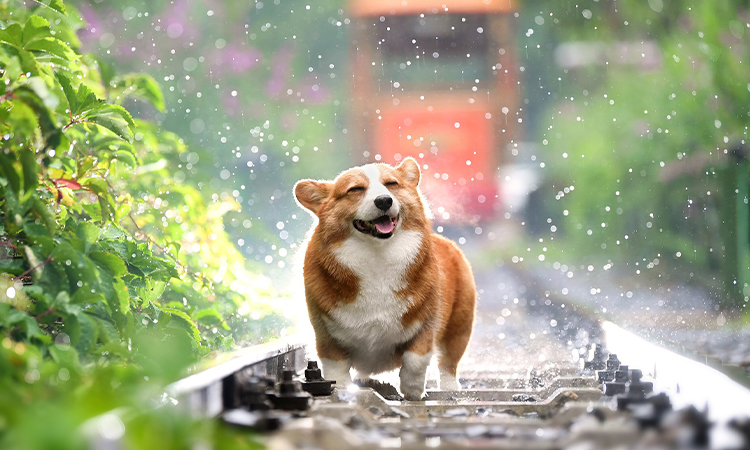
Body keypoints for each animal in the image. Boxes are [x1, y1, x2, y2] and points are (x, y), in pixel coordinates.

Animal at [294, 158, 476, 400]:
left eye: (391, 184)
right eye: (355, 189)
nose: (384, 200)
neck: (377, 255)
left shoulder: (426, 324)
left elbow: (415, 360)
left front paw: (413, 391)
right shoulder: (325, 333)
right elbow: (336, 368)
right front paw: (342, 389)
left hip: (459, 327)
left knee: (449, 363)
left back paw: (448, 388)